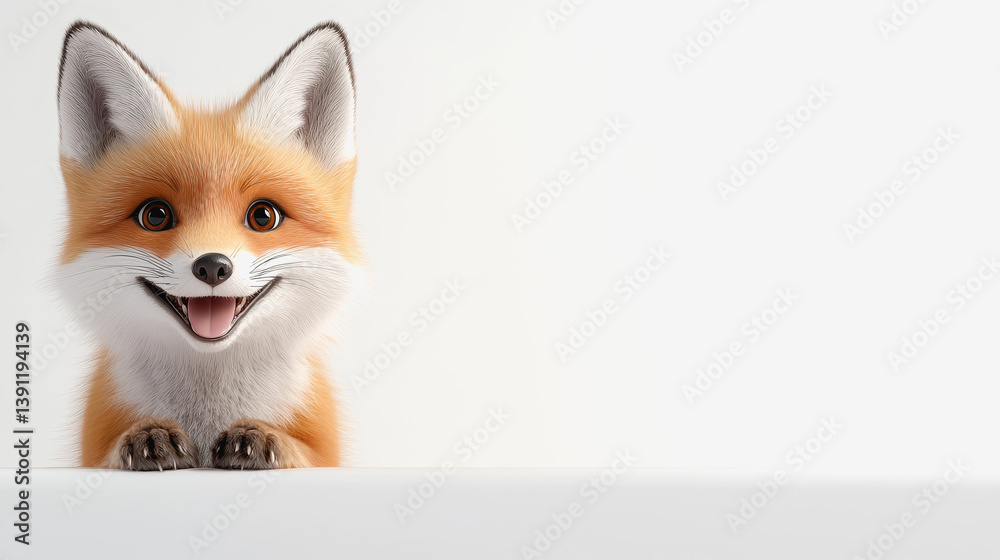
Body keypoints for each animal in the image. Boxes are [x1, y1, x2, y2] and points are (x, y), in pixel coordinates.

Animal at [53, 21, 365, 470]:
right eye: (155, 216)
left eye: (263, 216)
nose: (213, 266)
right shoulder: (89, 454)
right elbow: (109, 455)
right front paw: (146, 434)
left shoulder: (327, 455)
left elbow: (301, 453)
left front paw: (262, 436)